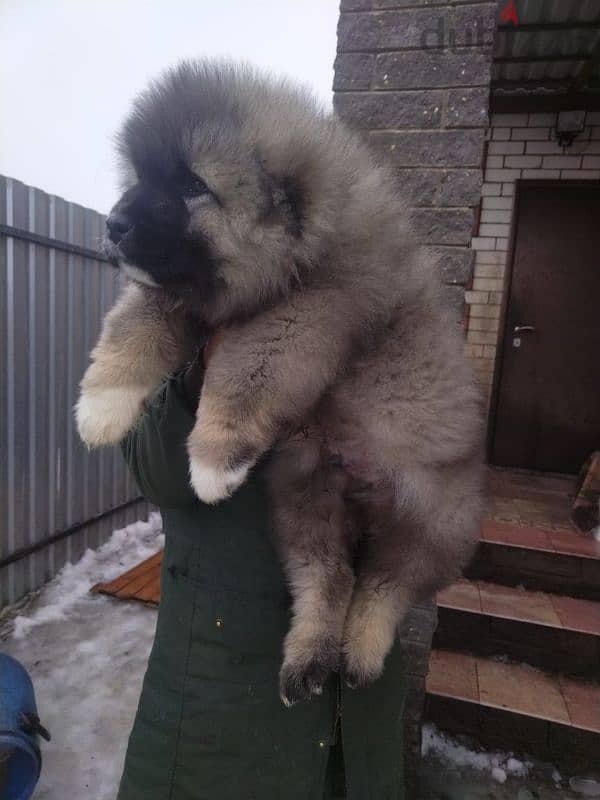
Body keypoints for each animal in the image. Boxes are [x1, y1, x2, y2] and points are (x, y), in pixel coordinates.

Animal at [77, 59, 486, 704]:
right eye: (143, 177)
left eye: (192, 186)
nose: (115, 223)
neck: (302, 247)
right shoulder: (185, 295)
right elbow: (134, 321)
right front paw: (101, 405)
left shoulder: (306, 312)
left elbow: (247, 370)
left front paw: (212, 461)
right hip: (304, 494)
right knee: (329, 578)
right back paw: (310, 659)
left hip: (433, 517)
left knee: (386, 587)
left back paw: (360, 652)